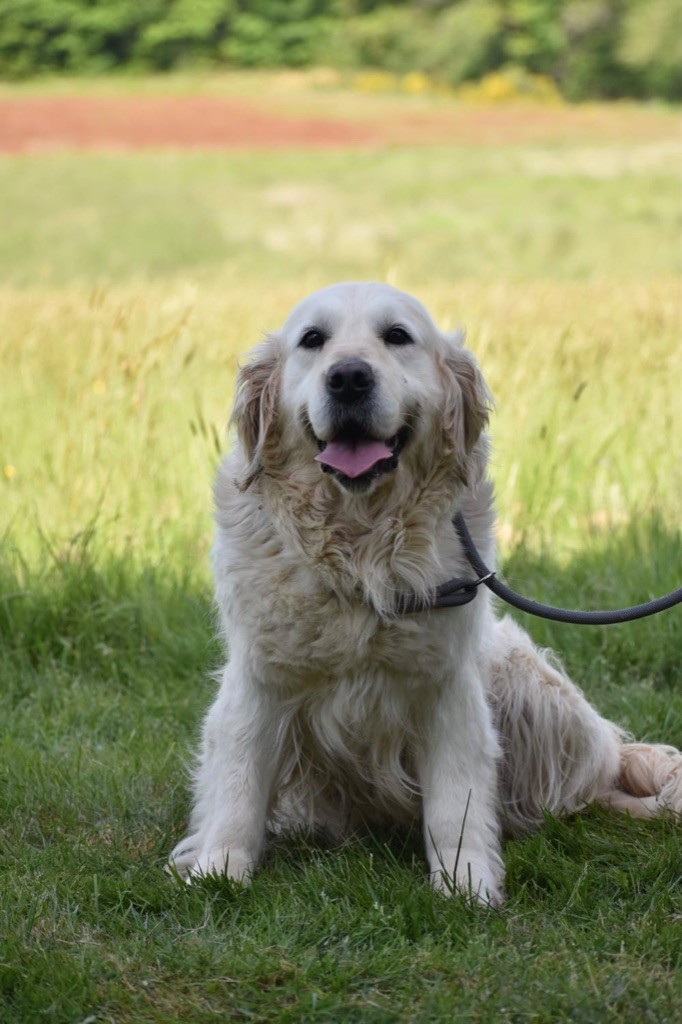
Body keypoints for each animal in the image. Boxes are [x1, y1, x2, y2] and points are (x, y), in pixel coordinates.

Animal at [168, 282, 675, 905]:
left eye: (397, 336)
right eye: (312, 339)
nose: (349, 377)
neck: (360, 548)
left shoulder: (447, 686)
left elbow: (456, 803)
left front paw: (467, 884)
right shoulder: (259, 678)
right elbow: (238, 787)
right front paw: (218, 871)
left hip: (526, 684)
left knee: (592, 782)